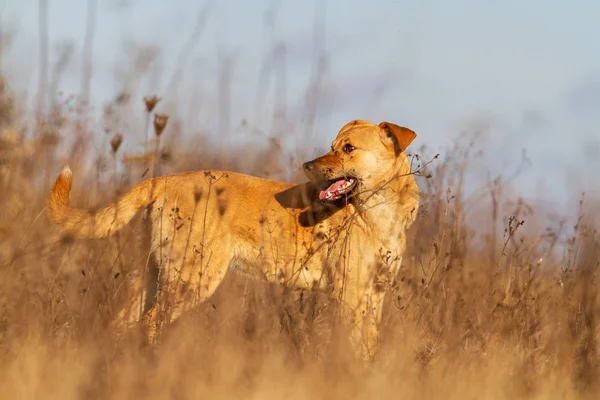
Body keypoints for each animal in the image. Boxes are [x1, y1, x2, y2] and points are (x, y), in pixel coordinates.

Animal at [47, 119, 420, 360]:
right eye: (333, 147)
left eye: (348, 148)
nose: (308, 165)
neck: (379, 212)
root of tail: (166, 179)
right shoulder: (351, 294)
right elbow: (356, 348)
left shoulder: (374, 294)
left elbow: (369, 346)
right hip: (193, 278)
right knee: (151, 324)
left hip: (154, 276)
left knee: (122, 324)